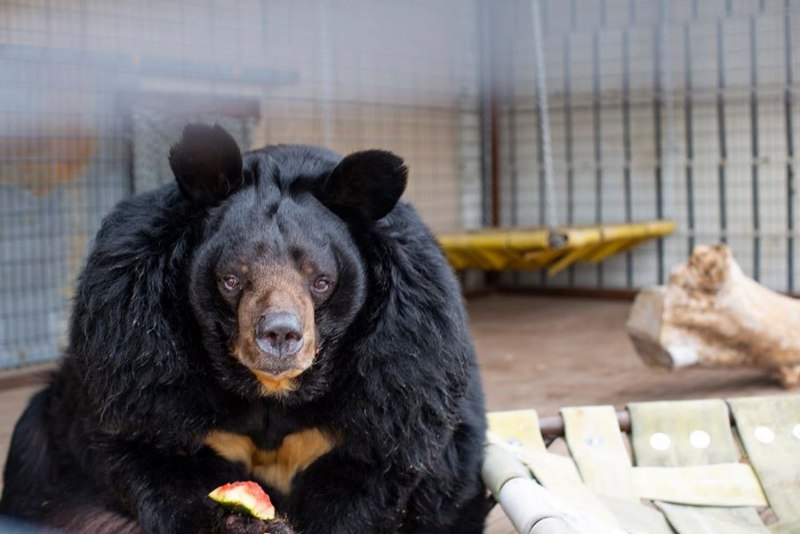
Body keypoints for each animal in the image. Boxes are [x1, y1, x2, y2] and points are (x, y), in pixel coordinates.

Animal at [0, 124, 489, 533]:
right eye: (231, 279)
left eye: (321, 281)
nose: (280, 336)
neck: (271, 391)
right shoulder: (139, 357)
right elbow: (152, 455)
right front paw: (240, 522)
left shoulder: (401, 372)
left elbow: (370, 472)